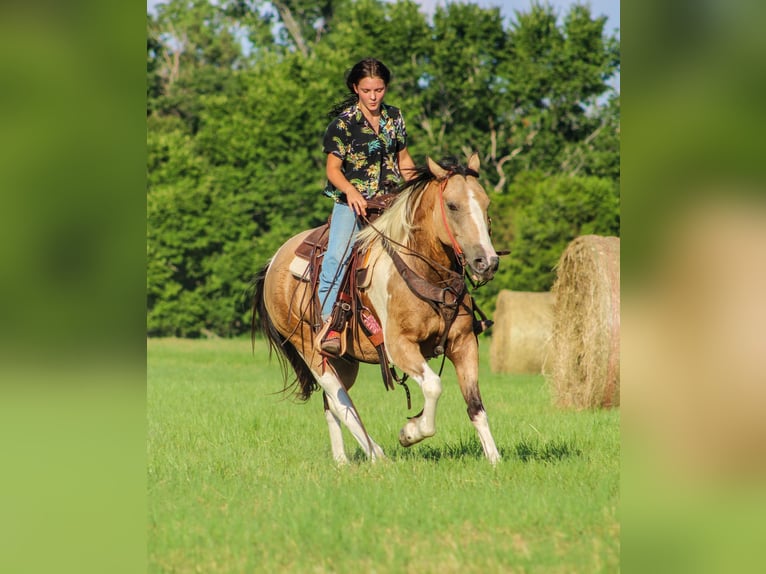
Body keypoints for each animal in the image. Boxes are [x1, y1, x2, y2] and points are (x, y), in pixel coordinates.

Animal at [252, 153, 501, 464]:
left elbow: (475, 404)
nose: (487, 262)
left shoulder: (464, 342)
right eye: (452, 205)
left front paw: (494, 459)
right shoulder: (400, 346)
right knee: (339, 400)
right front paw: (410, 432)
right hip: (309, 348)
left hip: (343, 360)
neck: (424, 272)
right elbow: (433, 386)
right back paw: (376, 454)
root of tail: (274, 260)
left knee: (332, 402)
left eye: (486, 203)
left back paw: (342, 461)